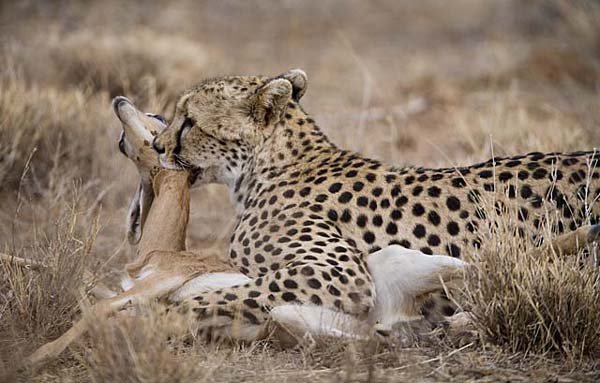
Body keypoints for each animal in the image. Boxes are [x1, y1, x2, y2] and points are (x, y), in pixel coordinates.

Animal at [151, 69, 600, 342]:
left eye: (189, 121)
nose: (156, 145)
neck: (271, 165)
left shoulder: (338, 273)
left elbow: (221, 294)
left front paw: (148, 316)